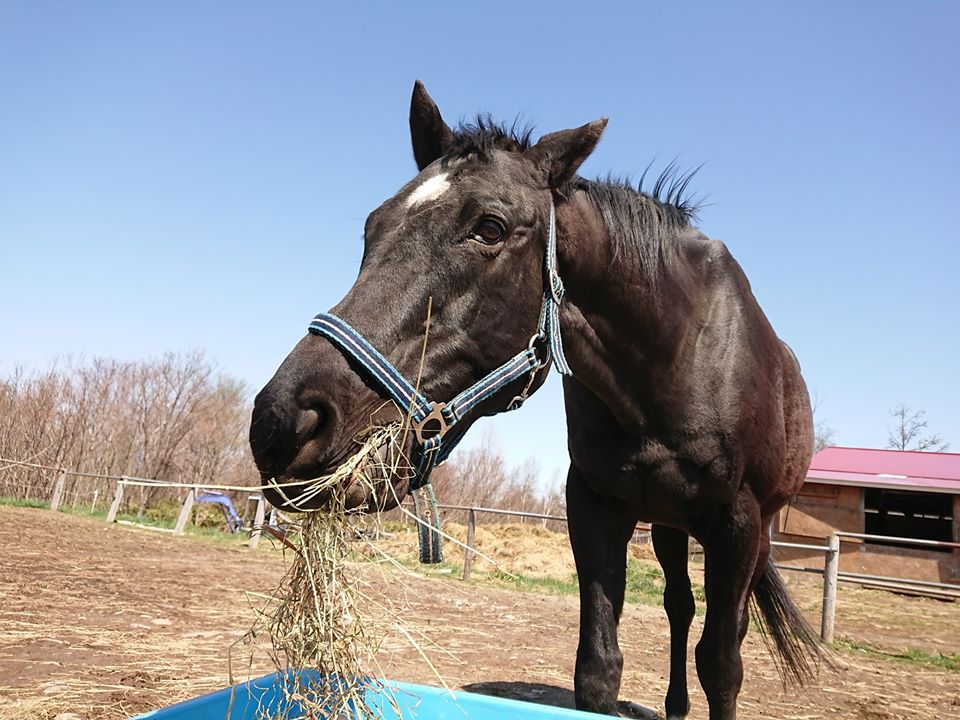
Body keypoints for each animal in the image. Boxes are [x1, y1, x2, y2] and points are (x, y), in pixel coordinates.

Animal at [251, 81, 828, 716]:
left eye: (490, 228)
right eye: (372, 226)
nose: (284, 422)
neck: (675, 361)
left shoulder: (738, 524)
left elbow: (723, 667)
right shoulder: (596, 506)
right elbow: (598, 668)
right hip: (669, 527)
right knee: (679, 607)